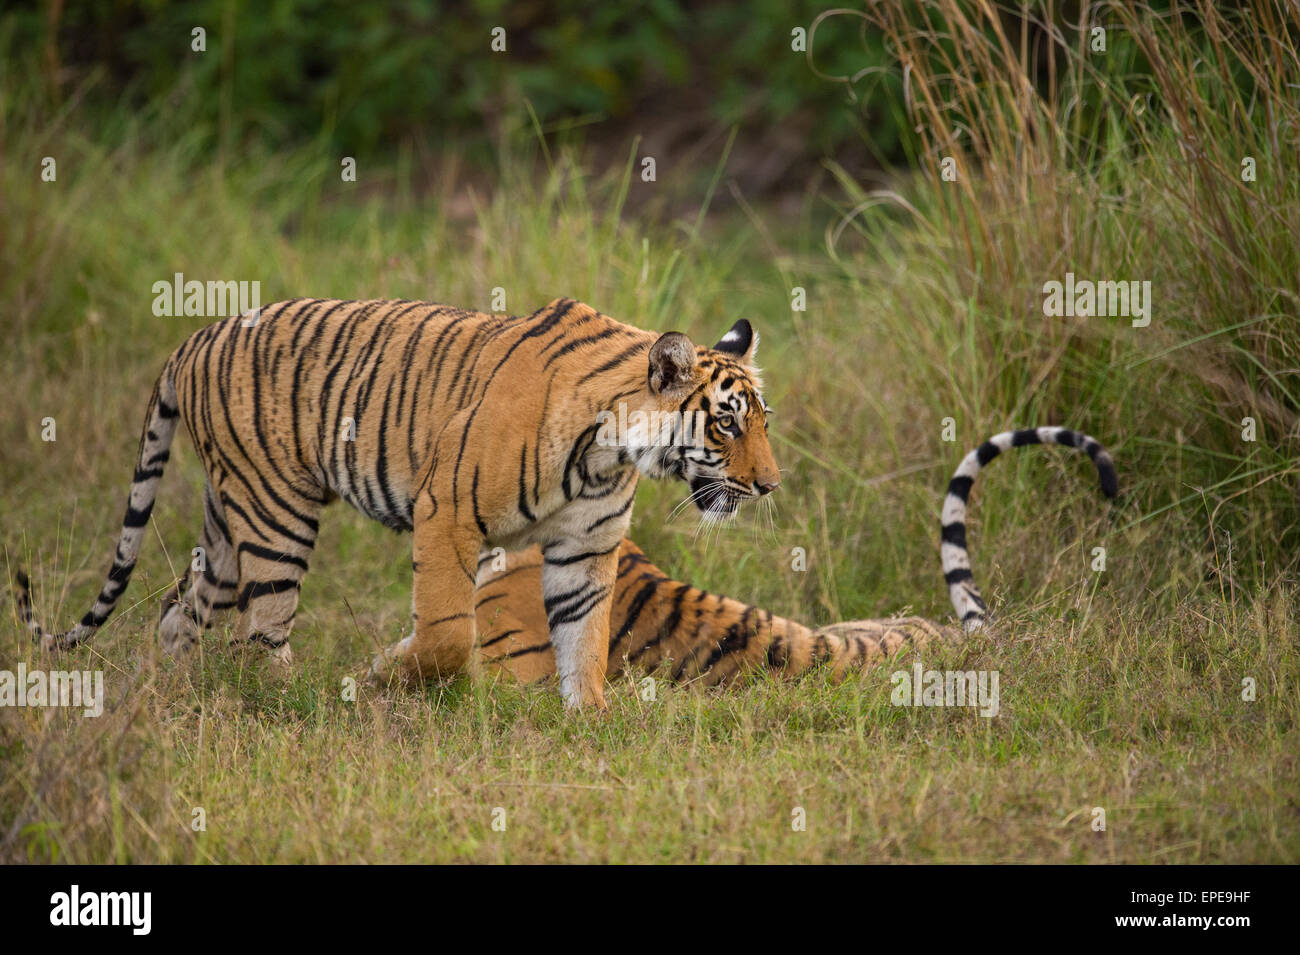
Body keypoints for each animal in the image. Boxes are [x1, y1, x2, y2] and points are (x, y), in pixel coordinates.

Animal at [10, 298, 774, 712]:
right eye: (726, 422)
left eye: (762, 420)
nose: (769, 485)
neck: (608, 451)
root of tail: (194, 336)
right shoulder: (448, 511)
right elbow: (445, 635)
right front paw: (382, 675)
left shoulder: (585, 549)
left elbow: (582, 642)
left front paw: (590, 719)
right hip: (275, 513)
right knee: (262, 635)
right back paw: (302, 704)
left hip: (226, 526)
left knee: (179, 611)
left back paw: (170, 692)